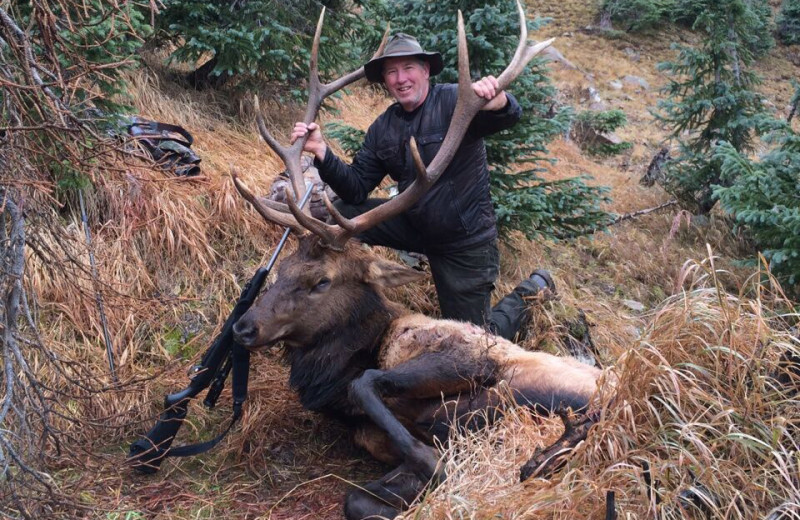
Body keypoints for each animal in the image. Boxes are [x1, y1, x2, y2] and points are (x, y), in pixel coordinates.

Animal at [228, 3, 604, 516]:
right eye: (282, 270)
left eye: (322, 281)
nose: (243, 327)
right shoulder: (373, 440)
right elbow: (358, 500)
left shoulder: (468, 353)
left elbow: (372, 384)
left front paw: (436, 463)